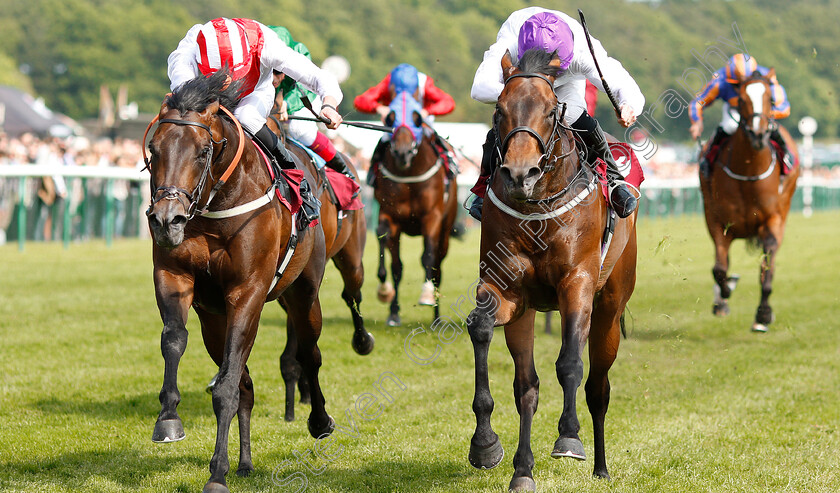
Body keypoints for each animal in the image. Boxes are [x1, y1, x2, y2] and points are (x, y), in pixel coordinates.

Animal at [146, 71, 336, 490]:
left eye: (204, 151)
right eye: (153, 149)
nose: (167, 220)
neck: (217, 207)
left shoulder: (247, 293)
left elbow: (227, 386)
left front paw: (217, 473)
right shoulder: (175, 276)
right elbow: (174, 341)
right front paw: (168, 420)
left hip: (304, 294)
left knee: (309, 354)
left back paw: (319, 421)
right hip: (215, 322)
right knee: (244, 384)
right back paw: (245, 462)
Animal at [370, 92, 456, 326]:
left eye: (417, 120)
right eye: (391, 120)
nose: (403, 153)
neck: (409, 176)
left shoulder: (432, 217)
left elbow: (428, 258)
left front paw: (426, 295)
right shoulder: (390, 215)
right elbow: (390, 257)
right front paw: (386, 295)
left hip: (446, 230)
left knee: (438, 268)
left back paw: (436, 317)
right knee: (398, 267)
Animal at [466, 48, 636, 490]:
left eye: (548, 111)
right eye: (500, 111)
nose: (519, 174)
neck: (536, 208)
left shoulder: (577, 284)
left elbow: (570, 363)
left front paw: (569, 438)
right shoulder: (507, 292)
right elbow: (481, 328)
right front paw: (485, 443)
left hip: (609, 309)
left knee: (598, 387)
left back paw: (600, 466)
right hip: (526, 315)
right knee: (527, 387)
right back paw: (522, 470)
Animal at [696, 68, 800, 330]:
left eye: (771, 99)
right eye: (741, 100)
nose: (758, 134)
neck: (748, 171)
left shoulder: (772, 220)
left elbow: (767, 267)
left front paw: (763, 314)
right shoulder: (717, 221)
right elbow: (719, 269)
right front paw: (723, 297)